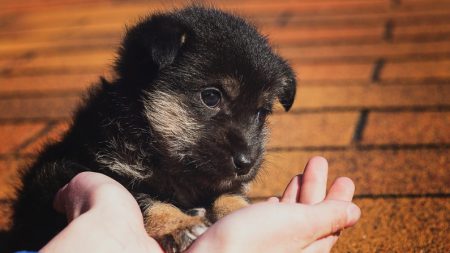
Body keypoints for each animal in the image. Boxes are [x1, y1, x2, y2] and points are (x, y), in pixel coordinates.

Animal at [6, 6, 298, 253]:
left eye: (260, 113)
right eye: (211, 97)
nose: (246, 163)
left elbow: (229, 195)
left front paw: (243, 211)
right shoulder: (69, 171)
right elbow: (143, 200)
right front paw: (181, 225)